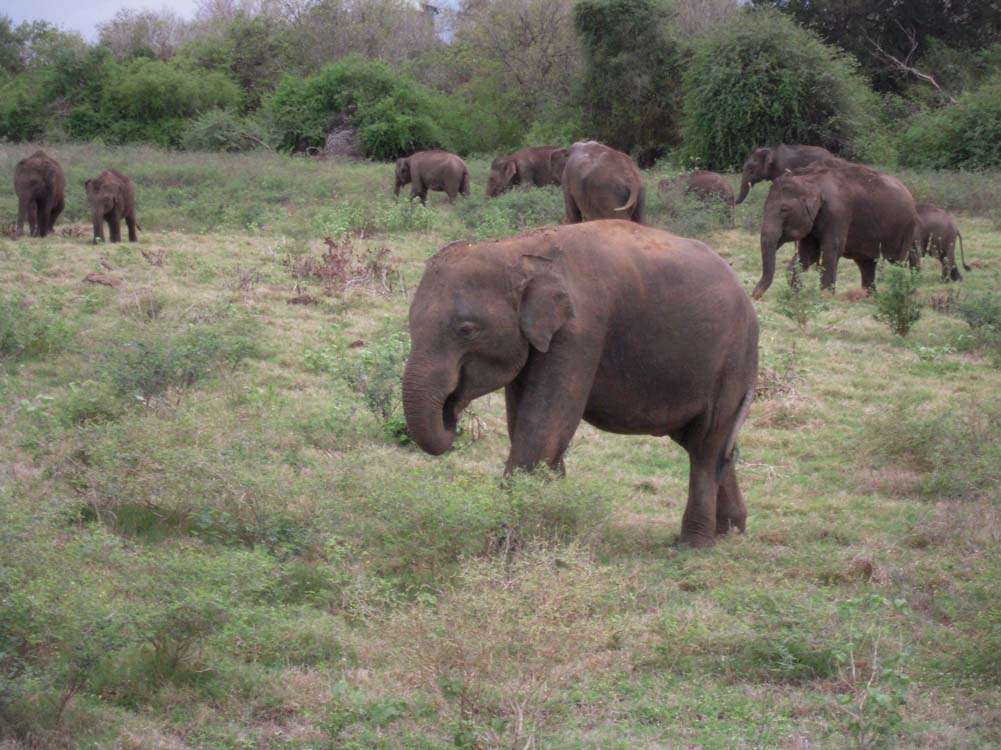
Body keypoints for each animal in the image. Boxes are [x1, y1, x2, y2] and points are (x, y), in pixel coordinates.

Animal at [402, 220, 759, 548]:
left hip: (732, 360)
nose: (451, 412)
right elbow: (523, 423)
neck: (519, 249)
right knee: (710, 442)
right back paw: (731, 531)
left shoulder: (580, 330)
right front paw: (551, 521)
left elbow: (544, 428)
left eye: (466, 330)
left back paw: (692, 544)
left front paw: (507, 544)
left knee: (706, 443)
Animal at [752, 160, 918, 299]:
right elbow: (808, 253)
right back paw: (870, 296)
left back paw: (899, 290)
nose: (754, 295)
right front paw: (800, 293)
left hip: (905, 228)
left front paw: (824, 296)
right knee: (866, 264)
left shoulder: (837, 212)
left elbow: (831, 247)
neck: (810, 178)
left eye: (784, 210)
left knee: (898, 260)